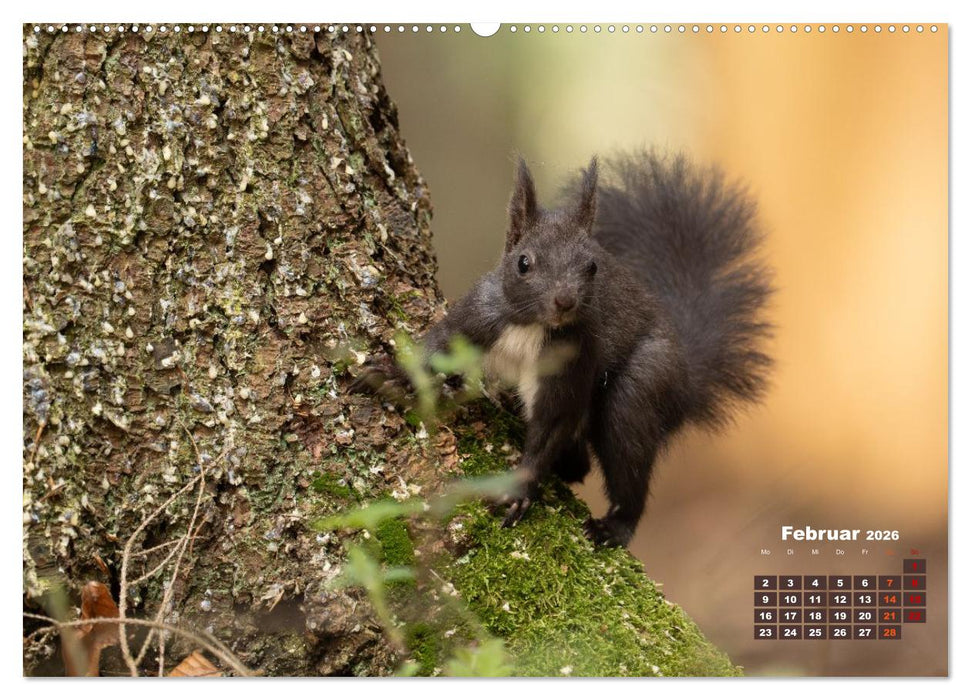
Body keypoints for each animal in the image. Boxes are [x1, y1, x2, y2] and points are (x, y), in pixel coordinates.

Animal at [352, 150, 773, 547]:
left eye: (593, 266)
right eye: (523, 263)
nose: (565, 301)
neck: (533, 325)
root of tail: (686, 379)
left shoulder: (572, 362)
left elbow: (551, 425)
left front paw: (518, 490)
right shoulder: (476, 317)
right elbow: (438, 347)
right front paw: (392, 374)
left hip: (643, 388)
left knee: (627, 461)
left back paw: (614, 526)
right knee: (580, 462)